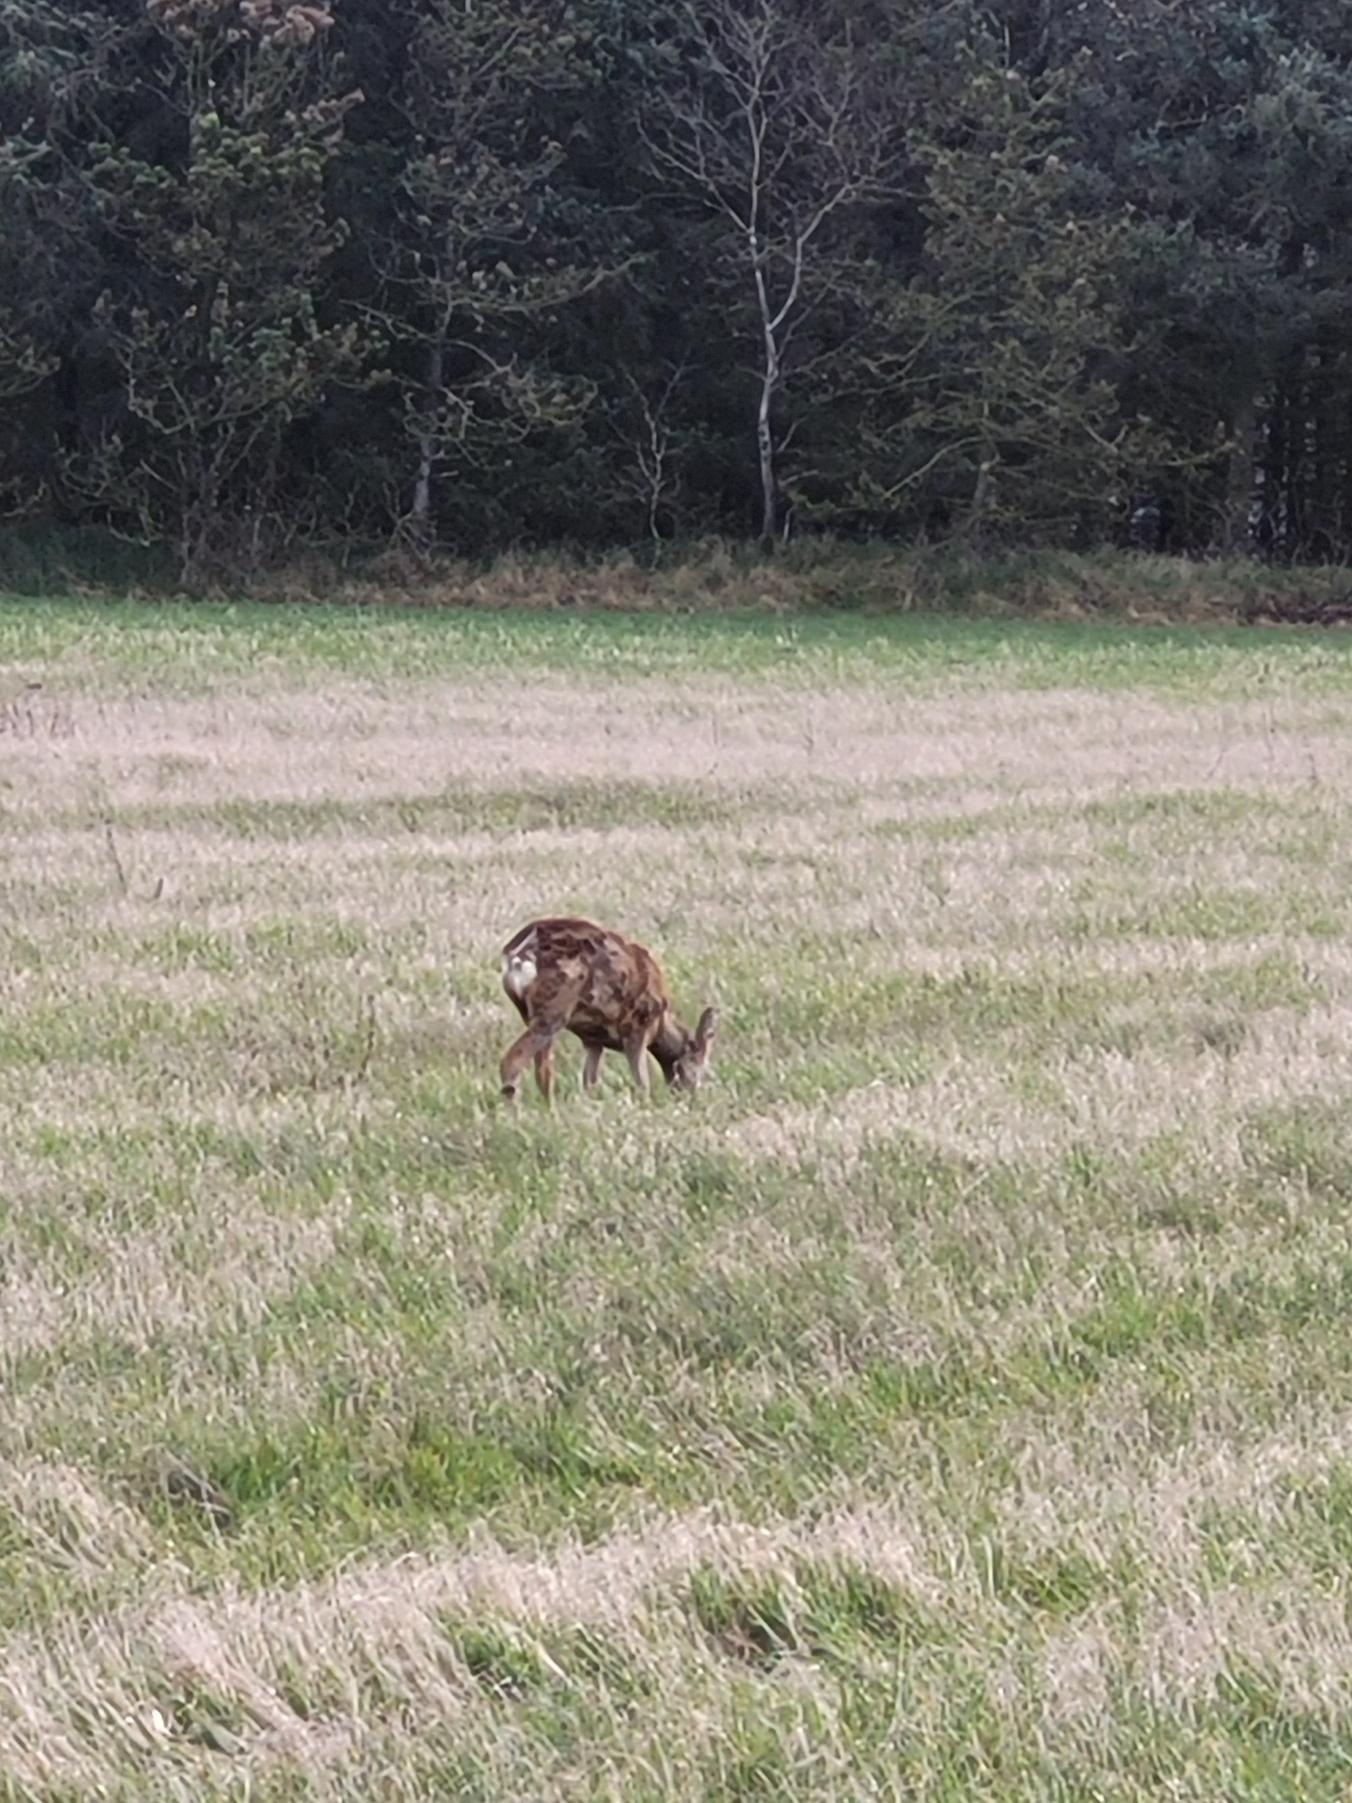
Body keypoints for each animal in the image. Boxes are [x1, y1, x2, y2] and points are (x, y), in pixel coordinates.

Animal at [498, 916, 717, 1106]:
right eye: (703, 1071)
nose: (694, 1099)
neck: (661, 1023)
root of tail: (518, 952)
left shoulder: (593, 1040)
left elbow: (589, 1083)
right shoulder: (636, 1029)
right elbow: (642, 1084)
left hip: (533, 1014)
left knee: (543, 1072)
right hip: (554, 1010)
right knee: (512, 1062)